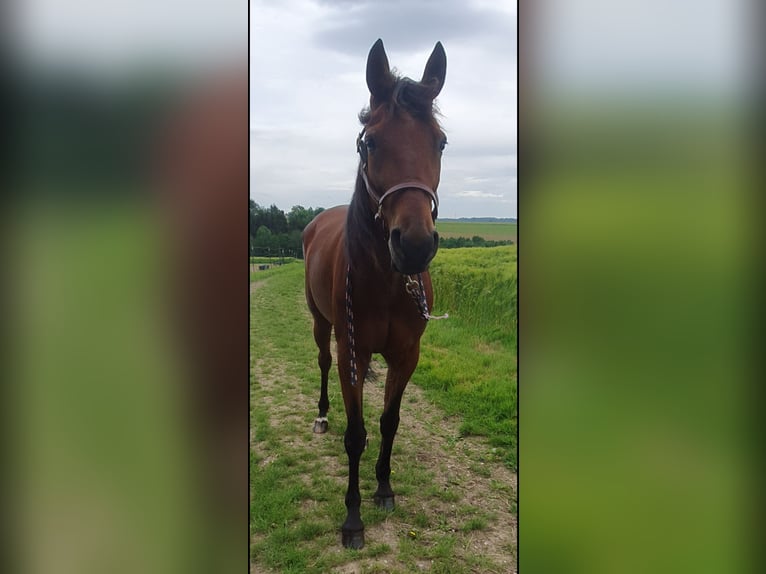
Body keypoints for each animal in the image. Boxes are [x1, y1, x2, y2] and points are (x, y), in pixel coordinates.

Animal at [302, 38, 448, 552]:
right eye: (371, 142)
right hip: (322, 325)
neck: (385, 281)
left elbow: (388, 422)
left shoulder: (407, 355)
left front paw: (383, 487)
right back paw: (322, 415)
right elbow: (356, 434)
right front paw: (353, 518)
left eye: (440, 142)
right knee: (323, 365)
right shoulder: (353, 349)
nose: (415, 245)